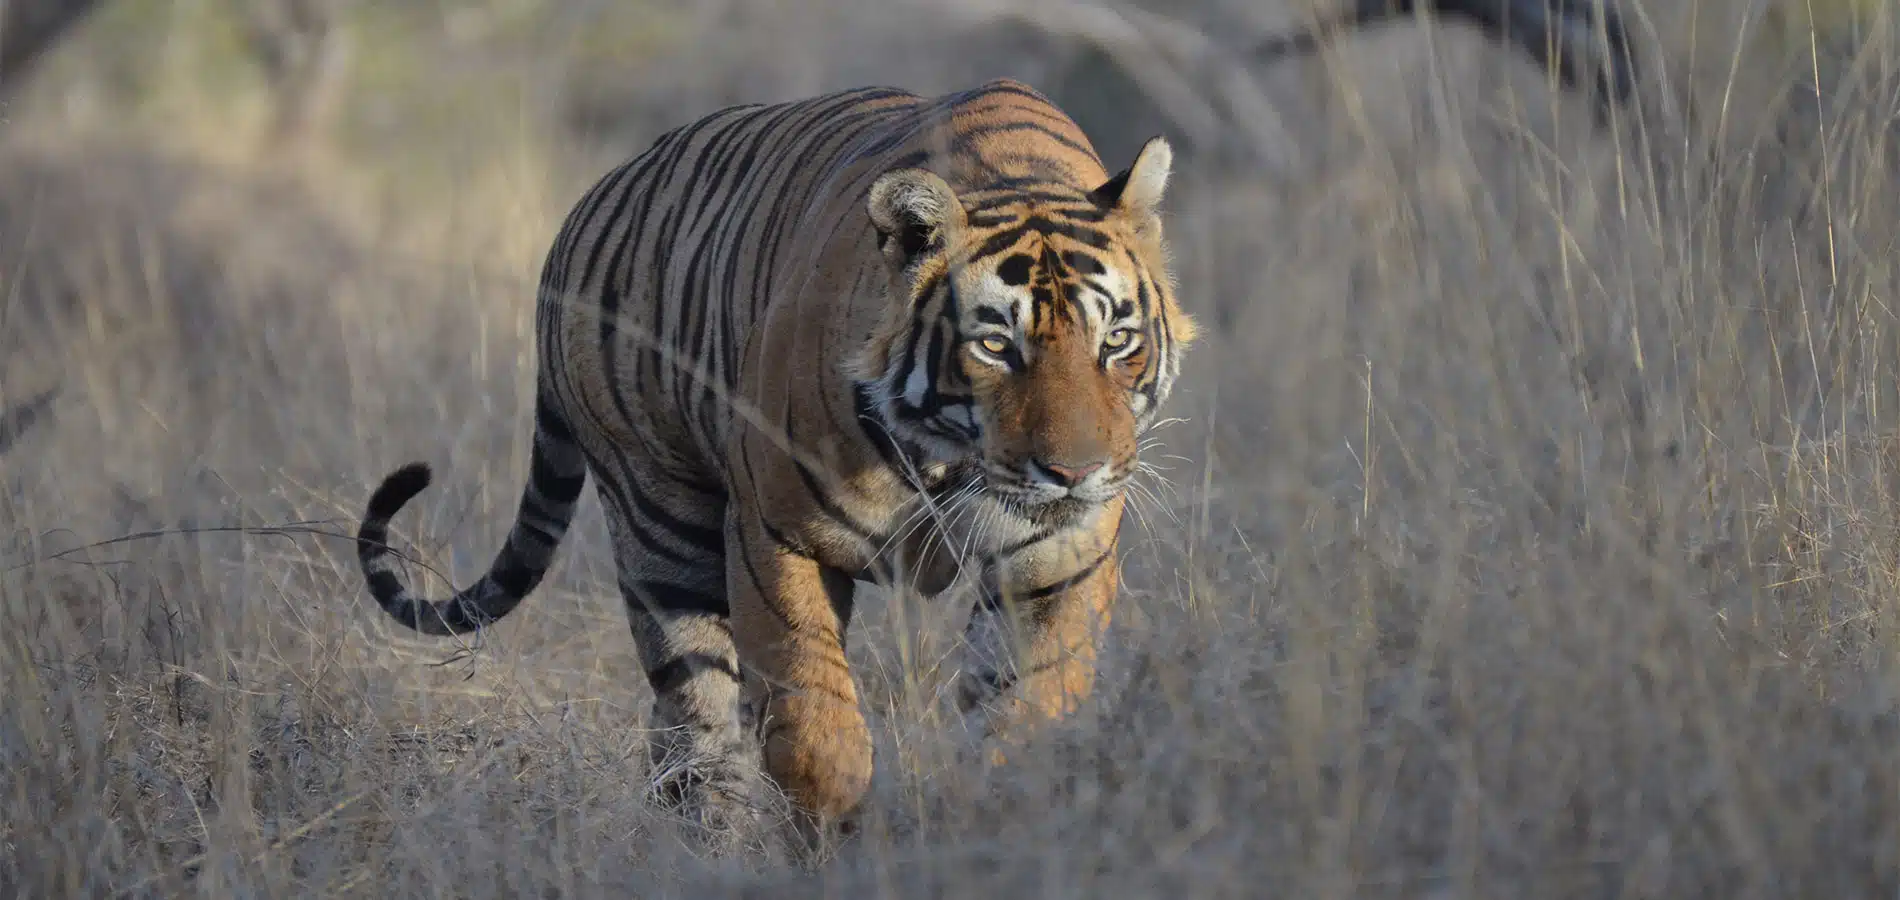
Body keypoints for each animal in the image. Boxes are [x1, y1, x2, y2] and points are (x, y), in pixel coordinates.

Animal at [353, 1, 1640, 854]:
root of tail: (587, 205)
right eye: (997, 345)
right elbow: (808, 709)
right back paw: (712, 838)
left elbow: (1026, 704)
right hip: (663, 516)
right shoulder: (779, 534)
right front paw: (838, 818)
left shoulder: (1057, 557)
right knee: (691, 714)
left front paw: (991, 818)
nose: (1076, 467)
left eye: (1118, 343)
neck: (947, 457)